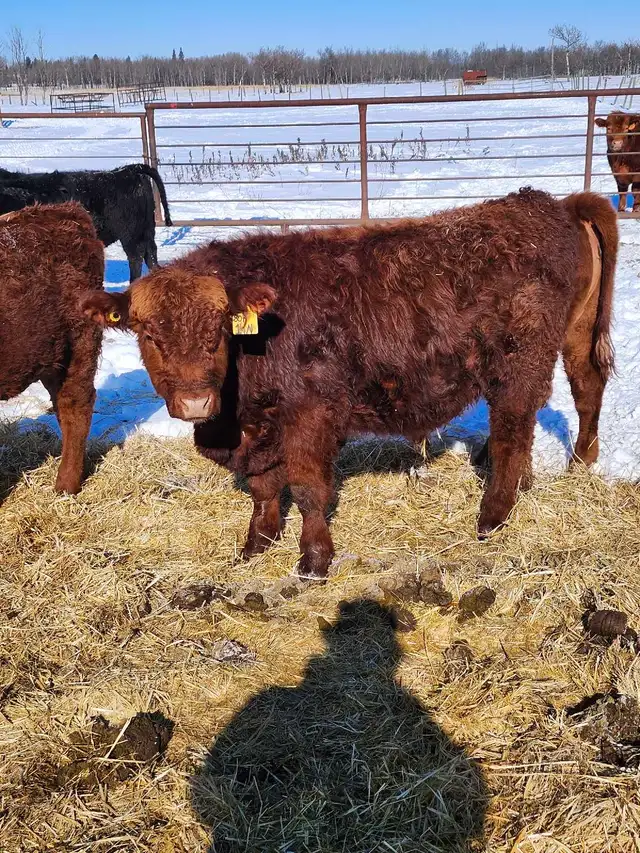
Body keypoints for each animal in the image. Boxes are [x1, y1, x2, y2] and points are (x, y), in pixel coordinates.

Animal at [80, 189, 618, 579]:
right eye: (149, 334)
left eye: (217, 331)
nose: (195, 401)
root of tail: (547, 203)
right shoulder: (262, 426)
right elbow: (263, 490)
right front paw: (257, 543)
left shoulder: (310, 417)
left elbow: (308, 489)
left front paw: (314, 560)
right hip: (571, 336)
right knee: (583, 388)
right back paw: (575, 463)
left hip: (518, 365)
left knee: (514, 429)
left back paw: (494, 515)